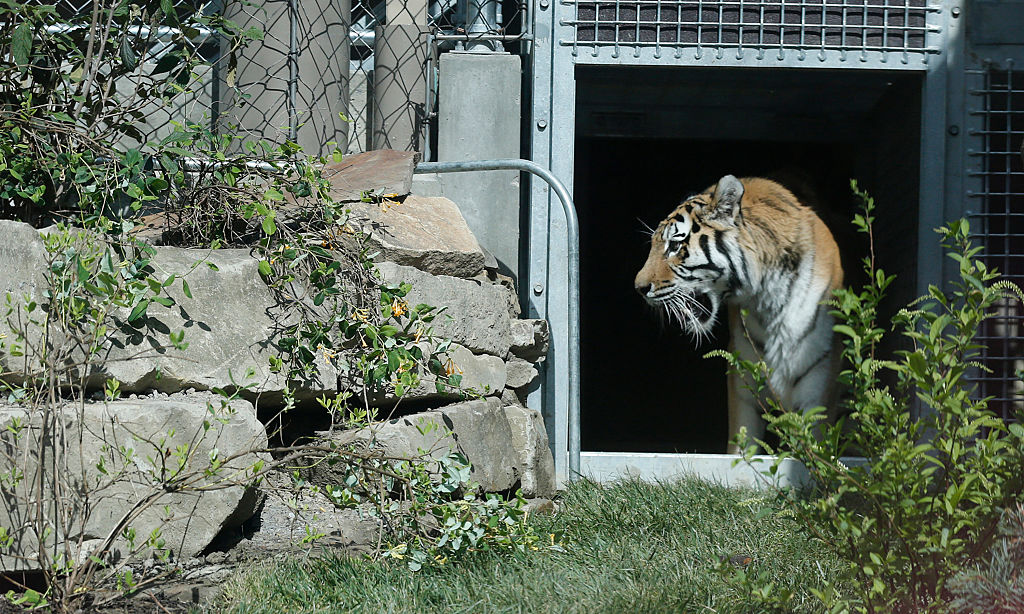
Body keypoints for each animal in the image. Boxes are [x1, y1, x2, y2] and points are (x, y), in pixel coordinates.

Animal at [634, 174, 844, 454]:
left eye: (675, 245)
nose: (639, 287)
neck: (767, 298)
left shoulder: (818, 384)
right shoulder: (744, 385)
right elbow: (742, 449)